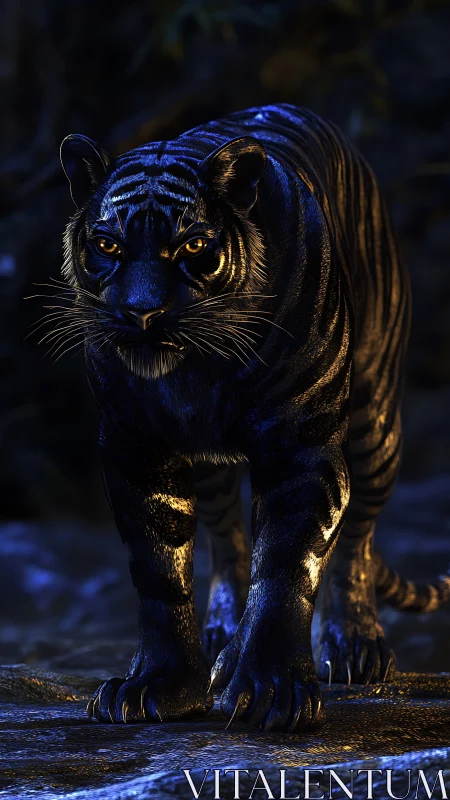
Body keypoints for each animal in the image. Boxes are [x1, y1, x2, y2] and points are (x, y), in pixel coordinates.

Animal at [55, 104, 450, 731]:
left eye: (193, 245)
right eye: (107, 245)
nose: (141, 313)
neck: (198, 371)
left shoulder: (301, 446)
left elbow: (287, 566)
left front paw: (272, 690)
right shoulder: (136, 445)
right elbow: (161, 572)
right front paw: (160, 684)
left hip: (375, 429)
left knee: (356, 539)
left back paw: (353, 644)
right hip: (215, 468)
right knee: (228, 539)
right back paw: (221, 637)